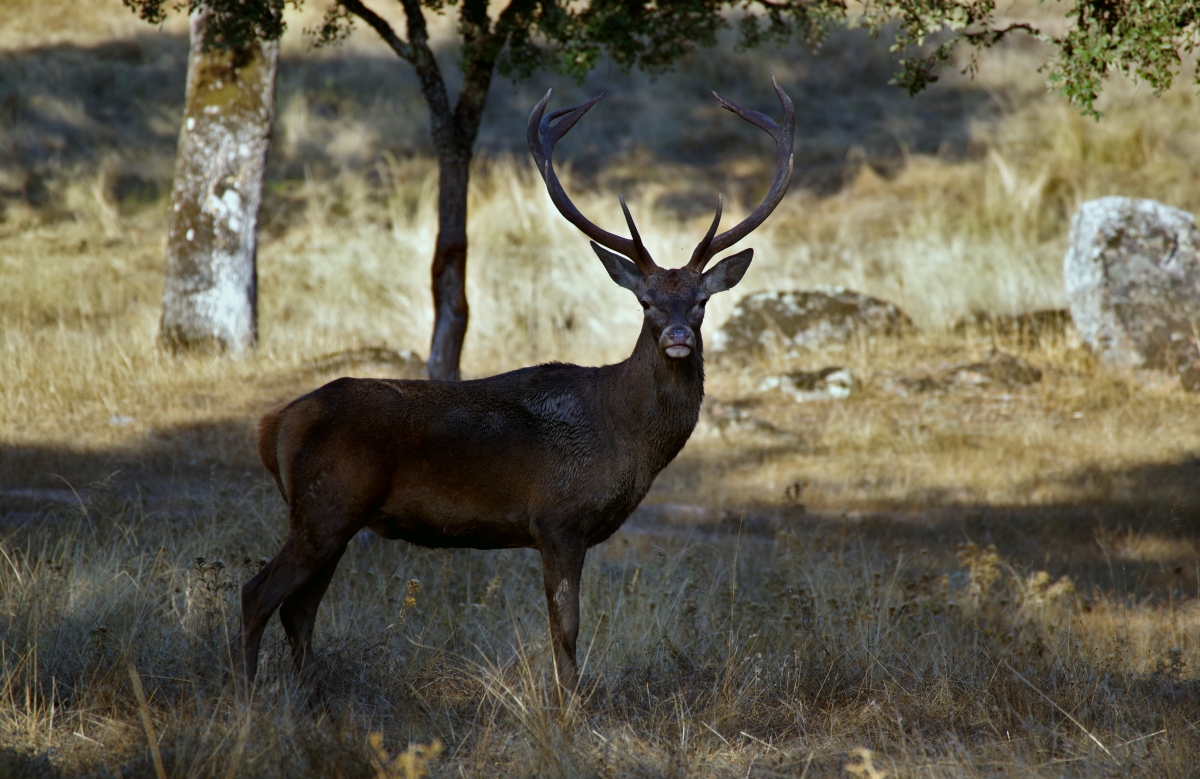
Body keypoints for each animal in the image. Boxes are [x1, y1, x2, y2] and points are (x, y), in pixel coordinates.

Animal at [238, 79, 792, 700]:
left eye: (701, 301)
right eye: (646, 302)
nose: (677, 337)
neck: (624, 434)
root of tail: (275, 423)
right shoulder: (558, 519)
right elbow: (565, 628)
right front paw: (570, 705)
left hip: (332, 516)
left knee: (299, 608)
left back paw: (308, 696)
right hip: (325, 504)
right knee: (258, 594)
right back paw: (247, 697)